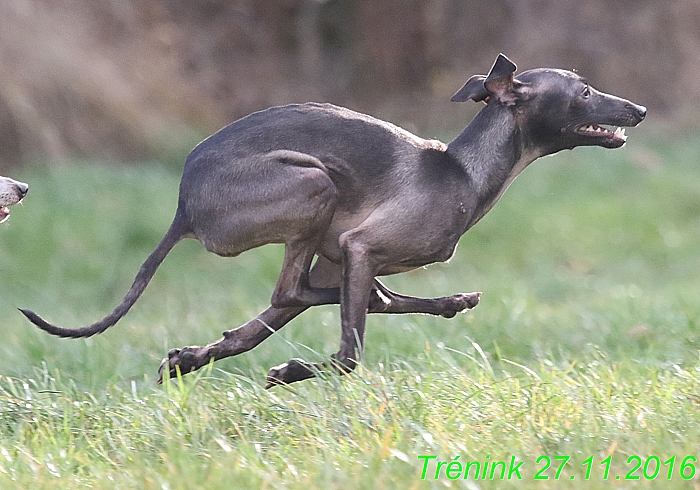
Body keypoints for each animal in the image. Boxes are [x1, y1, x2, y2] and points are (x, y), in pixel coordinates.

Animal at [20, 54, 644, 386]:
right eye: (585, 91)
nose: (638, 109)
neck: (462, 171)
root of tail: (183, 203)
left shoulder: (341, 255)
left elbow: (317, 315)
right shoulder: (361, 246)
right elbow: (350, 352)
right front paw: (297, 369)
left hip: (313, 223)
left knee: (281, 306)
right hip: (313, 184)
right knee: (301, 294)